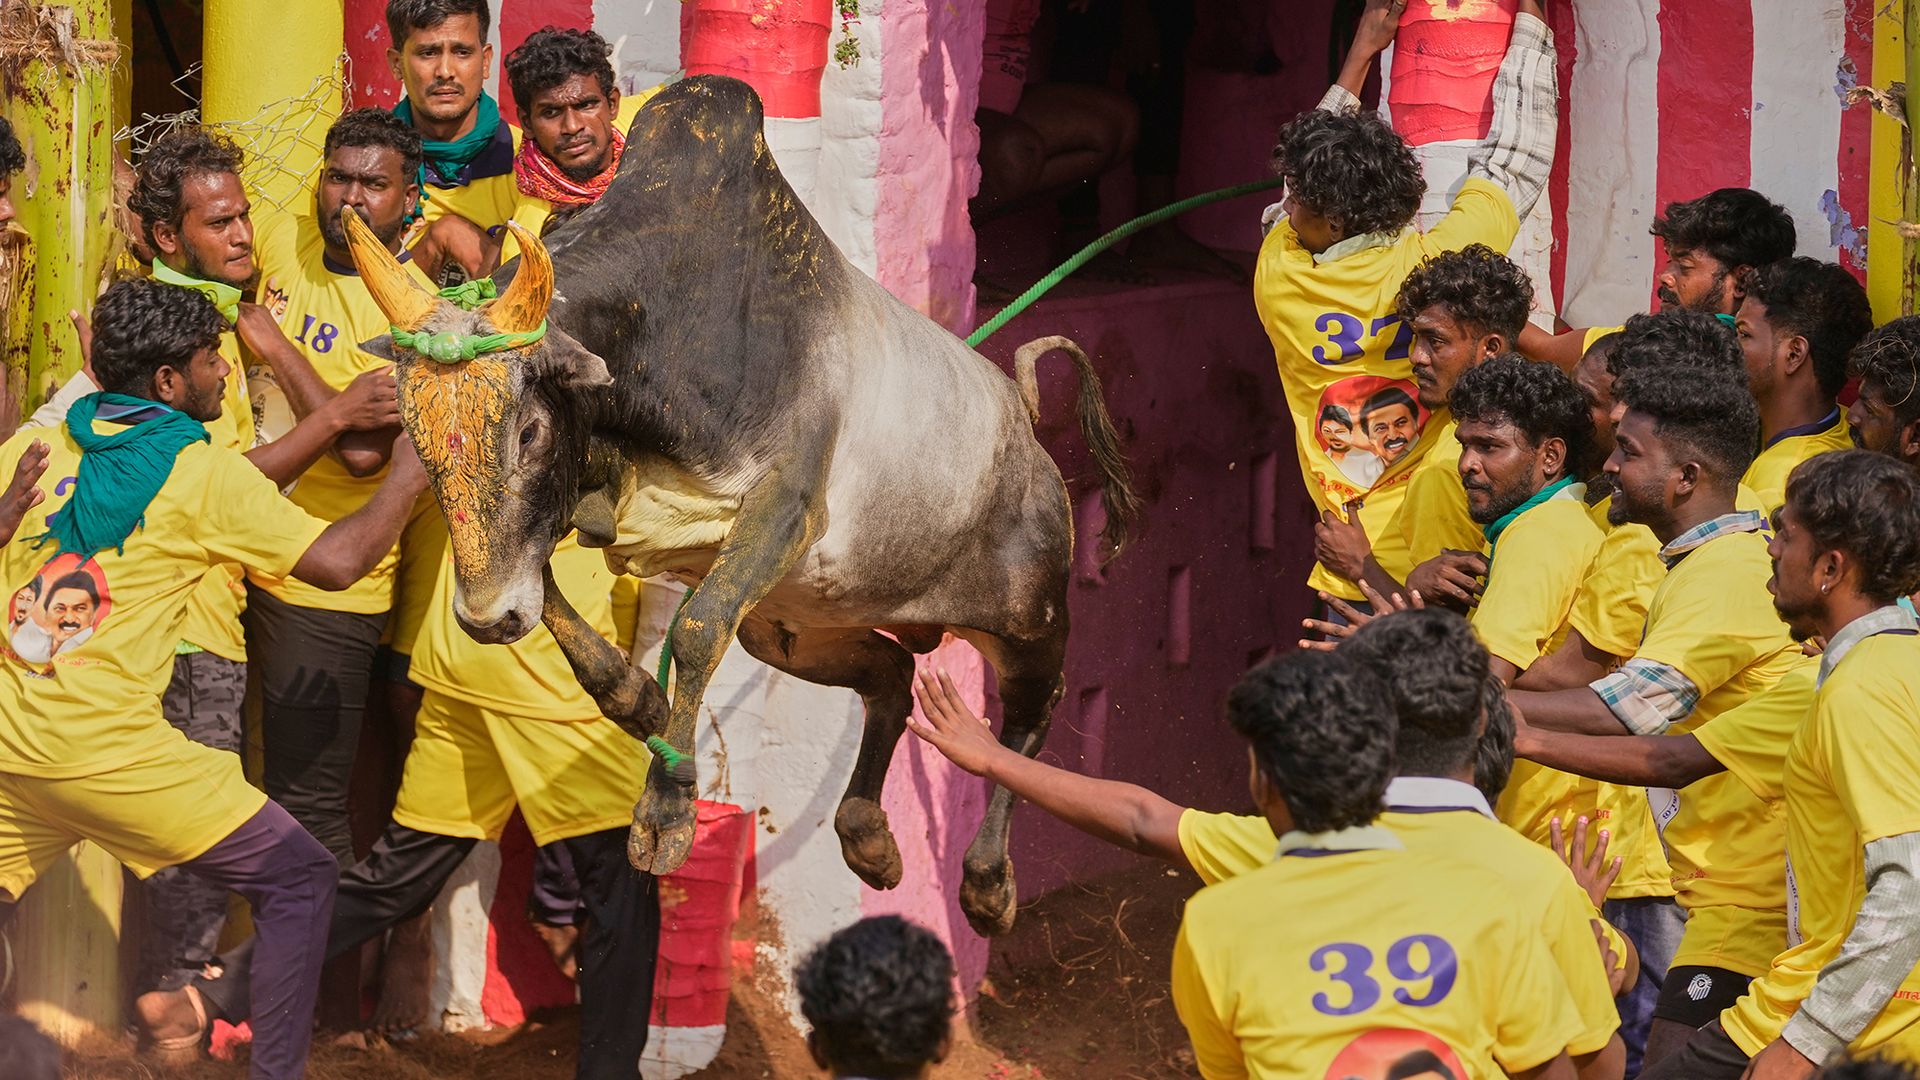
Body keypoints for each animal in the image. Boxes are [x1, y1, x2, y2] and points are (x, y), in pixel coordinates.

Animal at [344, 75, 1138, 935]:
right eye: (415, 439)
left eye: (527, 431)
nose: (486, 624)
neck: (669, 331)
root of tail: (1024, 424)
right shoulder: (585, 516)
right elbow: (545, 589)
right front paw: (634, 698)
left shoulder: (786, 507)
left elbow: (693, 631)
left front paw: (666, 811)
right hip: (794, 627)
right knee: (892, 674)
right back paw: (866, 834)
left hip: (1028, 621)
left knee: (1031, 716)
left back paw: (989, 882)